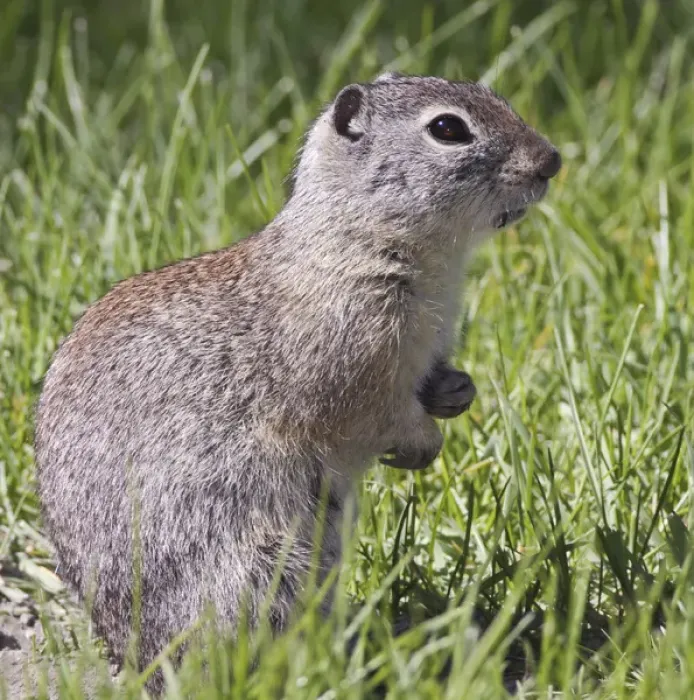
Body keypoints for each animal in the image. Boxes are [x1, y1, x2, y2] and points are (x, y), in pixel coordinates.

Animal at [34, 72, 560, 689]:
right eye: (448, 128)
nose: (551, 160)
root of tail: (139, 660)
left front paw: (457, 393)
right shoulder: (350, 365)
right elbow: (379, 415)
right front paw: (424, 444)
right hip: (264, 564)